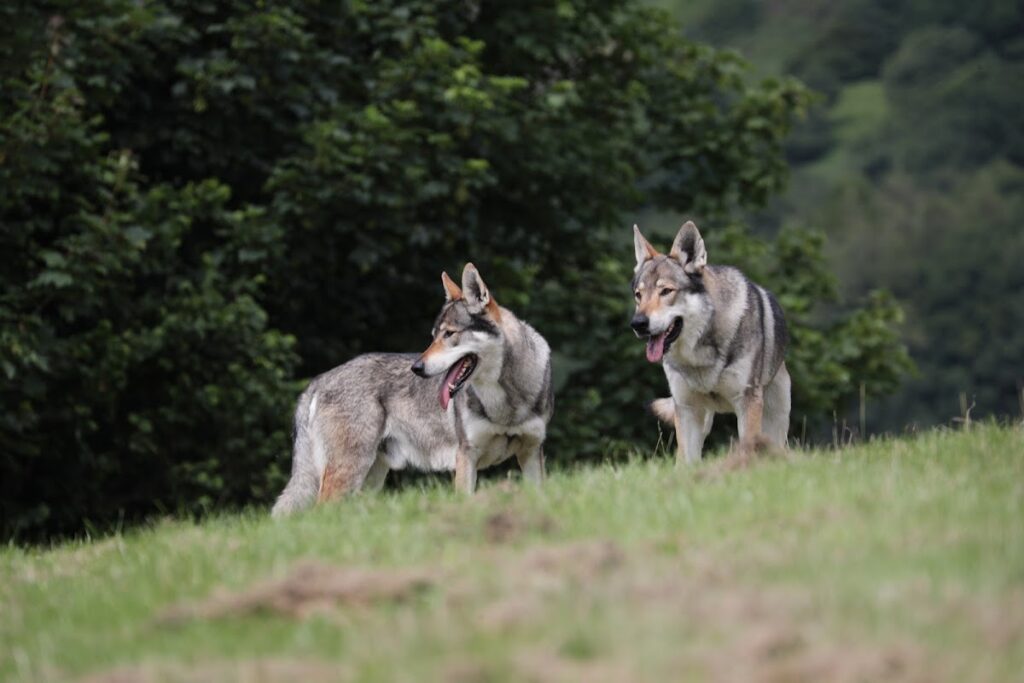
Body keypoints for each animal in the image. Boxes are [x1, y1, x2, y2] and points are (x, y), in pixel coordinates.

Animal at [271, 263, 553, 516]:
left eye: (449, 334)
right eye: (433, 336)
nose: (417, 367)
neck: (507, 406)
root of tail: (318, 380)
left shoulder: (531, 454)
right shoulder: (466, 458)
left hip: (368, 479)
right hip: (348, 472)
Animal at [630, 221, 790, 462]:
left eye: (666, 291)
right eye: (638, 295)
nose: (638, 323)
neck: (700, 357)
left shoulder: (747, 404)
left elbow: (747, 451)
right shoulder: (686, 409)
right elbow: (685, 462)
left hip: (775, 421)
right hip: (701, 420)